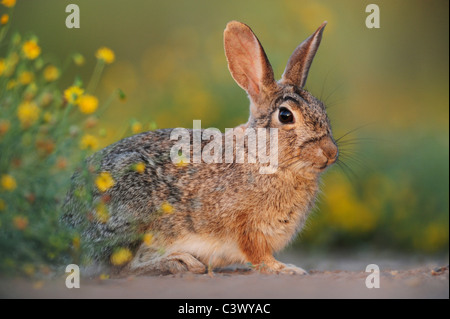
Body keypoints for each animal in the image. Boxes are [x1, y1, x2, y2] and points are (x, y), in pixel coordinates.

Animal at [62, 21, 338, 278]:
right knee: (121, 266)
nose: (330, 152)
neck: (261, 158)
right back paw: (179, 262)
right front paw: (286, 268)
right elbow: (258, 256)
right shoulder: (246, 228)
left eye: (323, 108)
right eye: (285, 116)